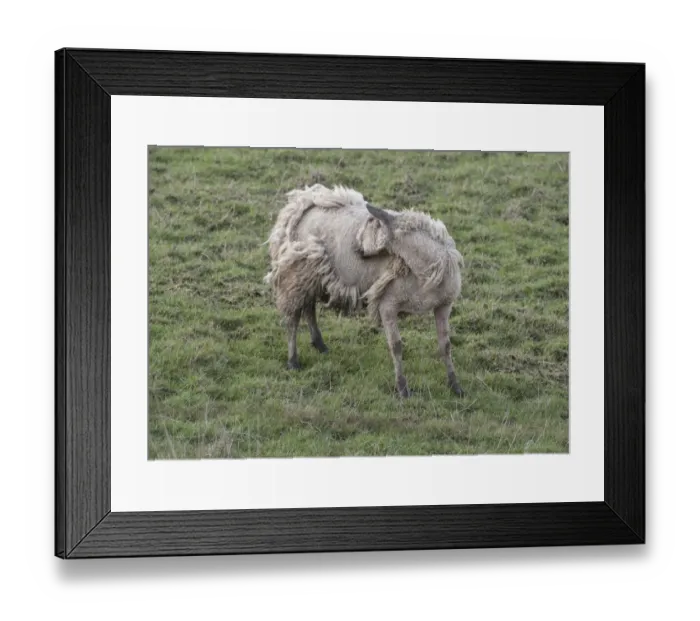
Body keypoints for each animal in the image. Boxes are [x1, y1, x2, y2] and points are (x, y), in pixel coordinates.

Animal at [264, 184, 465, 398]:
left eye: (370, 228)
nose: (356, 250)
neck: (425, 268)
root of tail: (302, 202)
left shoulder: (444, 305)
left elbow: (446, 345)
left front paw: (455, 386)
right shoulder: (387, 304)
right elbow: (396, 346)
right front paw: (402, 388)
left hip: (313, 276)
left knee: (309, 308)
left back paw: (319, 344)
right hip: (296, 274)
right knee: (293, 319)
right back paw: (293, 361)